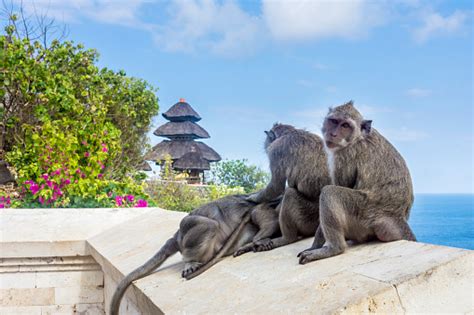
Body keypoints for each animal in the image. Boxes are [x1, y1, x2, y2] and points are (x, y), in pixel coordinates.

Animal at [236, 122, 332, 256]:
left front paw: (252, 197)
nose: (265, 146)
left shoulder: (276, 150)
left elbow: (276, 186)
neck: (290, 132)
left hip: (309, 217)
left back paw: (286, 238)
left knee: (290, 194)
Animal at [298, 100, 416, 264]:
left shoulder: (345, 155)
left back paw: (334, 248)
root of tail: (396, 217)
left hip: (365, 213)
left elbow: (340, 186)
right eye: (334, 121)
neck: (358, 138)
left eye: (345, 126)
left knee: (329, 192)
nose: (333, 134)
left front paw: (316, 246)